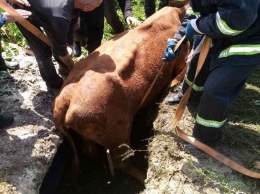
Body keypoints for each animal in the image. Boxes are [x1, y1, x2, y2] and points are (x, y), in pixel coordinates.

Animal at [53, 6, 189, 183]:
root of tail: (65, 98)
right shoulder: (181, 57)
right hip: (118, 132)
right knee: (121, 161)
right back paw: (144, 176)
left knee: (89, 150)